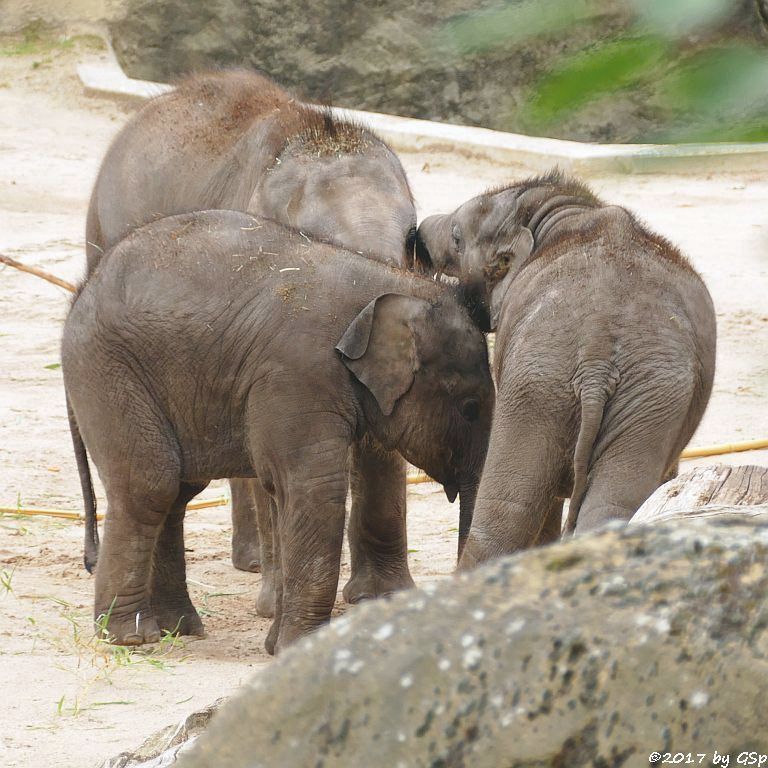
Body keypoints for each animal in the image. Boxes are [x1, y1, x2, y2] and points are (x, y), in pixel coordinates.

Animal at [61, 212, 492, 656]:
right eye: (470, 407)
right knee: (151, 485)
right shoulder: (299, 373)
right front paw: (300, 647)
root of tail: (81, 292)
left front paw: (276, 647)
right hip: (109, 371)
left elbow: (284, 491)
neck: (391, 283)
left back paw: (179, 628)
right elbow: (313, 489)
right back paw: (131, 638)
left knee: (177, 493)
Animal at [416, 171, 716, 568]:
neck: (565, 212)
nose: (416, 234)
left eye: (456, 237)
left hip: (556, 383)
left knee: (510, 513)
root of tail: (596, 353)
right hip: (620, 392)